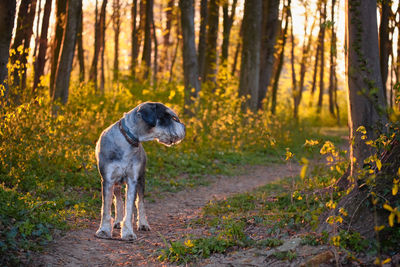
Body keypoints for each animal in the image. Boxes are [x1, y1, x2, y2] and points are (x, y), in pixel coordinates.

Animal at [94, 102, 185, 241]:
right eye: (169, 116)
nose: (184, 127)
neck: (127, 140)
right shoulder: (108, 180)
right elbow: (106, 208)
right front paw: (104, 230)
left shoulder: (133, 180)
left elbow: (131, 207)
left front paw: (128, 233)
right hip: (116, 184)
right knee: (118, 201)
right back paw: (118, 221)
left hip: (141, 180)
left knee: (140, 202)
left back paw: (143, 224)